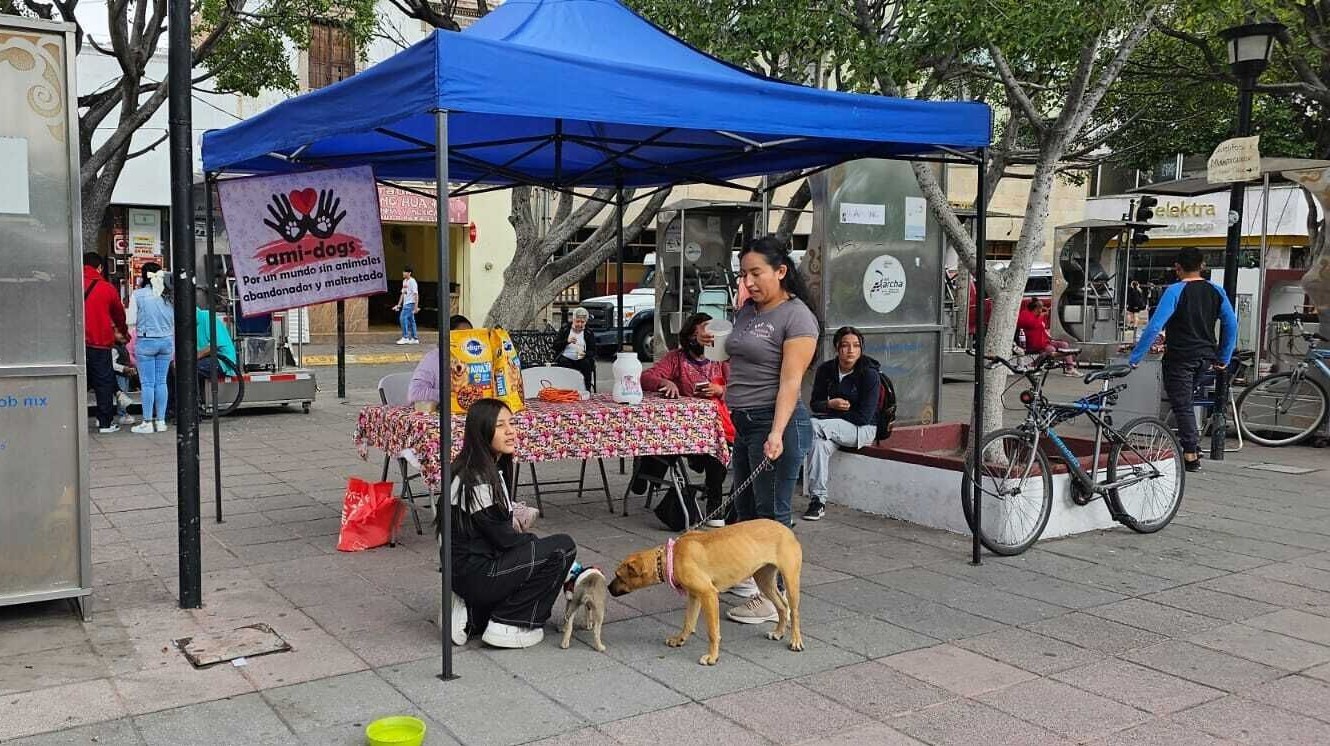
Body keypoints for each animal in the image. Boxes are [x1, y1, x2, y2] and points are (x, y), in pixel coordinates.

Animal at [609, 518, 803, 662]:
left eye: (618, 576)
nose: (608, 588)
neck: (671, 557)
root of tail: (787, 530)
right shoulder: (694, 596)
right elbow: (688, 622)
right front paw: (679, 639)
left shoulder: (708, 595)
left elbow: (712, 631)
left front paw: (712, 657)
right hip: (764, 580)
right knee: (782, 606)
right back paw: (778, 633)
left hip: (790, 580)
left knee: (793, 611)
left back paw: (795, 641)